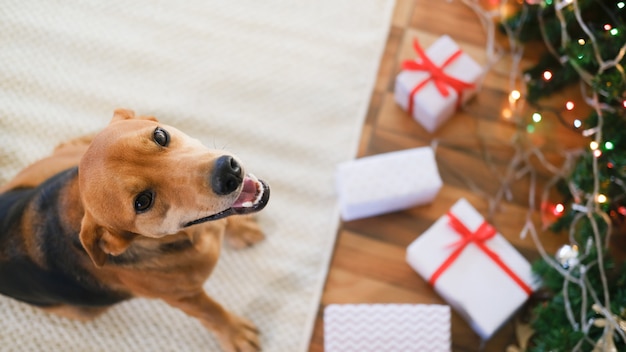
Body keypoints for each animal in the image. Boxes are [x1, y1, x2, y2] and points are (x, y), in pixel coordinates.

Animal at [0, 108, 268, 350]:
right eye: (142, 202)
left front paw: (239, 229)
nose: (229, 171)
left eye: (160, 136)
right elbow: (211, 312)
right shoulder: (184, 298)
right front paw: (234, 332)